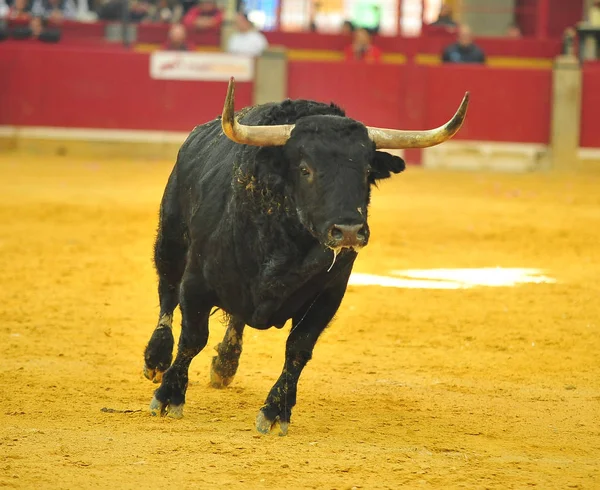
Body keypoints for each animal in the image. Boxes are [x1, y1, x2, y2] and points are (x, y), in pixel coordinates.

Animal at [142, 78, 468, 434]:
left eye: (367, 170)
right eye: (304, 169)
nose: (349, 230)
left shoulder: (328, 295)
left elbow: (298, 349)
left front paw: (275, 411)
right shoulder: (197, 281)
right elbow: (192, 337)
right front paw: (169, 396)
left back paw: (225, 364)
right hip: (171, 240)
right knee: (166, 294)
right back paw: (156, 359)